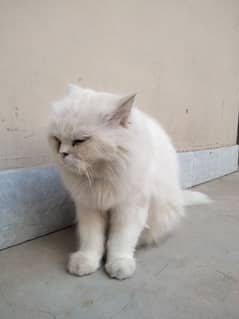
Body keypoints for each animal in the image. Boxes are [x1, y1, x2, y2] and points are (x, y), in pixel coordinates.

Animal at [48, 85, 209, 280]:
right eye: (57, 140)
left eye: (80, 141)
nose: (62, 154)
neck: (102, 176)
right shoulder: (89, 206)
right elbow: (91, 239)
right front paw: (86, 261)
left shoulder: (129, 208)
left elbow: (121, 240)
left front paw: (119, 263)